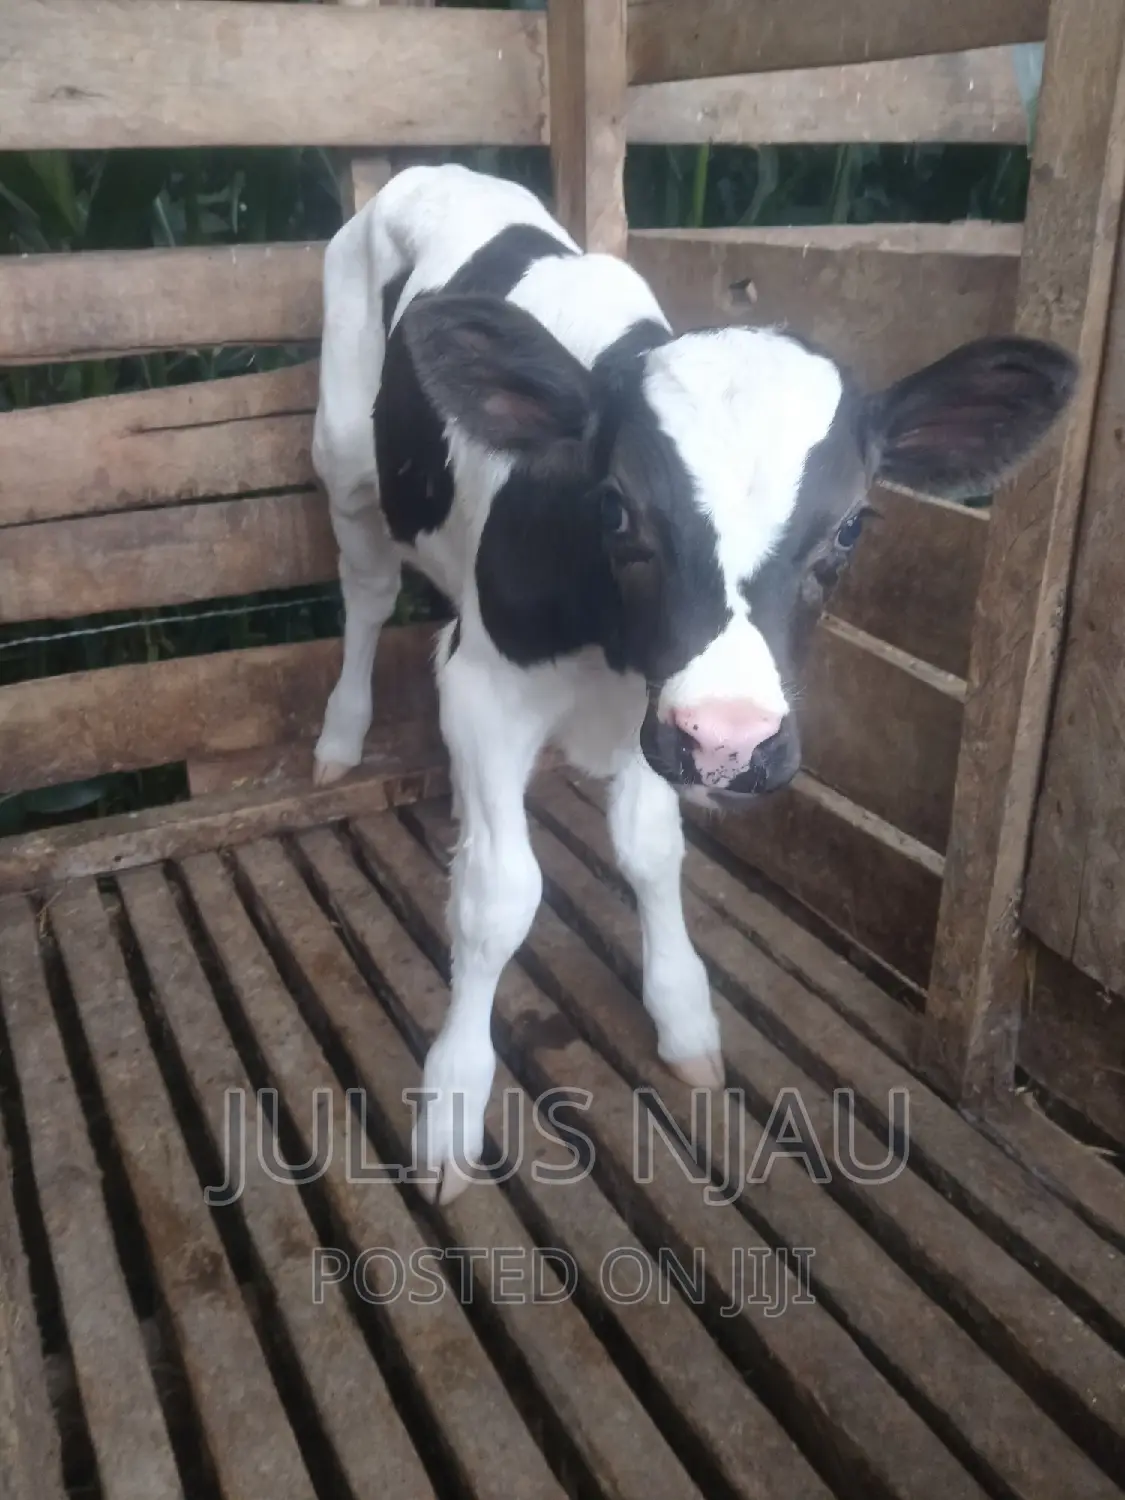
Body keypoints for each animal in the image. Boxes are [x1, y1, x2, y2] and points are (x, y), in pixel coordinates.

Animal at [311, 163, 1075, 1202]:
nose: (731, 738)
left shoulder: (659, 710)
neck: (607, 644)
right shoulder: (488, 687)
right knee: (364, 591)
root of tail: (437, 170)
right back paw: (339, 737)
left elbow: (651, 850)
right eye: (615, 508)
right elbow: (501, 897)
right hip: (345, 454)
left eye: (851, 526)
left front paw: (681, 1014)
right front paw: (453, 1105)